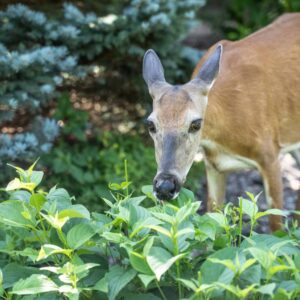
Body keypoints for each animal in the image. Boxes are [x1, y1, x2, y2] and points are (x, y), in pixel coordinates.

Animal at [142, 12, 300, 231]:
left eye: (196, 124)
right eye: (150, 124)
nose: (165, 186)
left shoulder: (271, 155)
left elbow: (276, 226)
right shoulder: (213, 165)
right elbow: (214, 220)